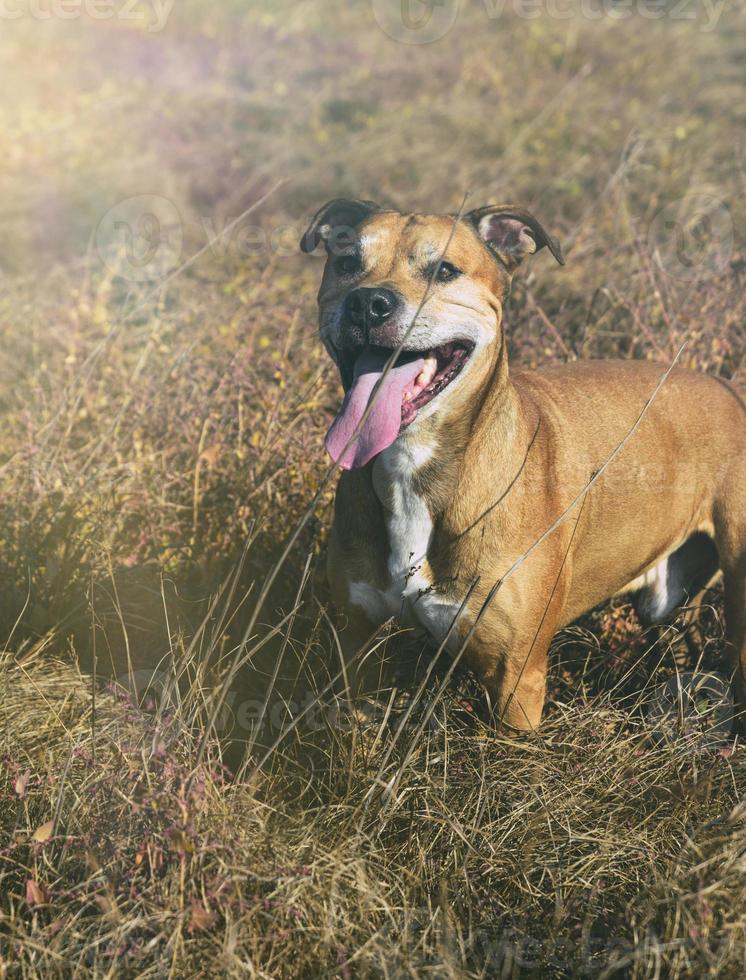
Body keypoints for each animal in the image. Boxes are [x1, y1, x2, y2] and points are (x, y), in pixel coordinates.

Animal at [298, 197, 744, 728]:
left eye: (444, 270)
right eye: (347, 262)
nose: (368, 303)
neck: (413, 465)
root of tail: (729, 389)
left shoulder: (516, 679)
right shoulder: (356, 651)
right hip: (667, 600)